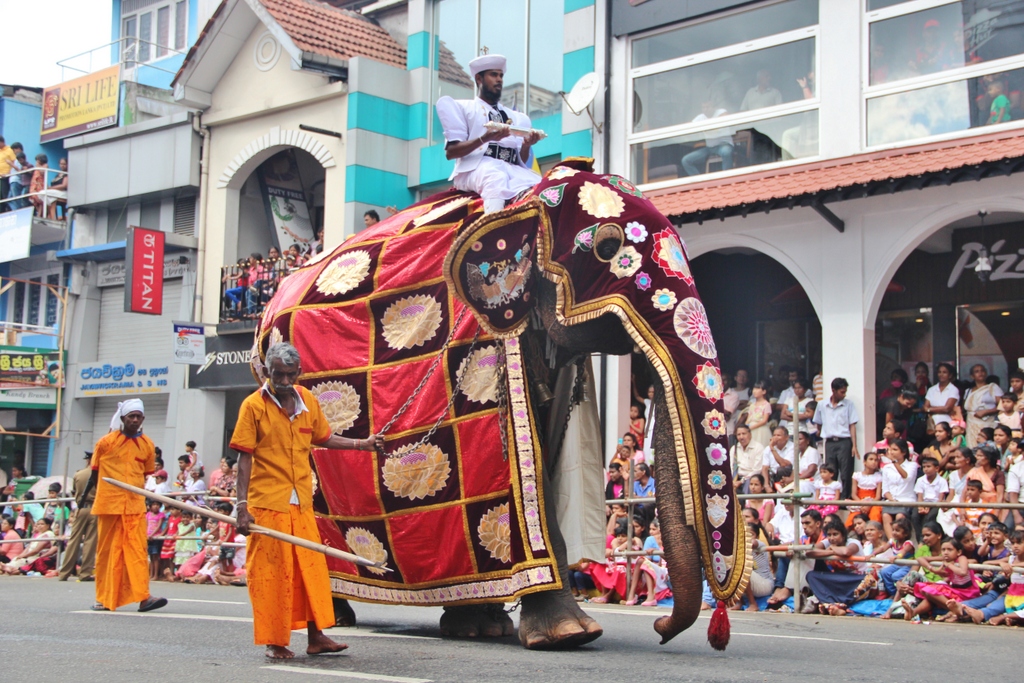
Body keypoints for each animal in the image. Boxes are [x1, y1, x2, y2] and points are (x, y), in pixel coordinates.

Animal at [253, 157, 753, 651]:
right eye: (608, 248)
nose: (663, 629)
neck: (522, 205)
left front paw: (502, 627)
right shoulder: (484, 346)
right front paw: (568, 635)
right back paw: (336, 617)